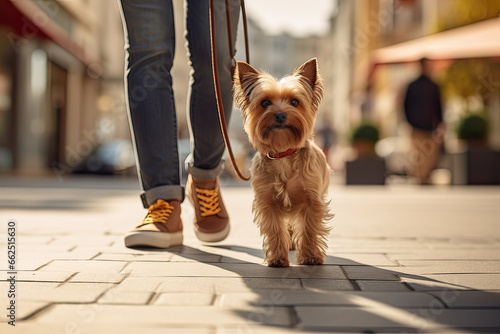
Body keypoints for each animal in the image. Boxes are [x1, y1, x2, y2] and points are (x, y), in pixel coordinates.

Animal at [233, 57, 332, 266]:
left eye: (294, 102)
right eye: (264, 103)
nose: (279, 114)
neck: (283, 154)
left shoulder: (312, 200)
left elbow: (309, 229)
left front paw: (310, 256)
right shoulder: (267, 202)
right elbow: (275, 230)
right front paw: (278, 258)